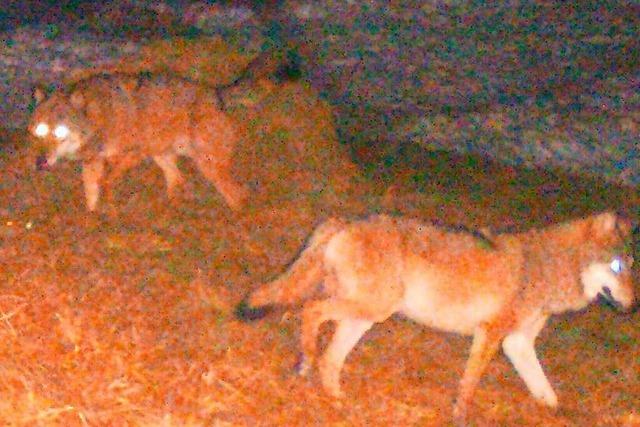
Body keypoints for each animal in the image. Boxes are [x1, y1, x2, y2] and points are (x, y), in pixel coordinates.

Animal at [31, 72, 249, 213]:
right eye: (41, 129)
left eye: (60, 131)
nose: (40, 162)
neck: (99, 117)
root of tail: (217, 93)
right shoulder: (93, 163)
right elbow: (91, 195)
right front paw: (92, 222)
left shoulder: (134, 154)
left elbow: (106, 182)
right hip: (163, 157)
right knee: (178, 179)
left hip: (208, 167)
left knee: (239, 194)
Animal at [239, 212, 636, 426]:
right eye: (618, 266)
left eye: (631, 267)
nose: (633, 305)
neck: (546, 268)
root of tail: (345, 219)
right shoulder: (491, 335)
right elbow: (469, 385)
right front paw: (460, 416)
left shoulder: (517, 344)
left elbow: (547, 393)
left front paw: (560, 415)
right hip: (371, 309)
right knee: (311, 312)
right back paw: (306, 362)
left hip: (365, 316)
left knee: (329, 355)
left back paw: (334, 397)